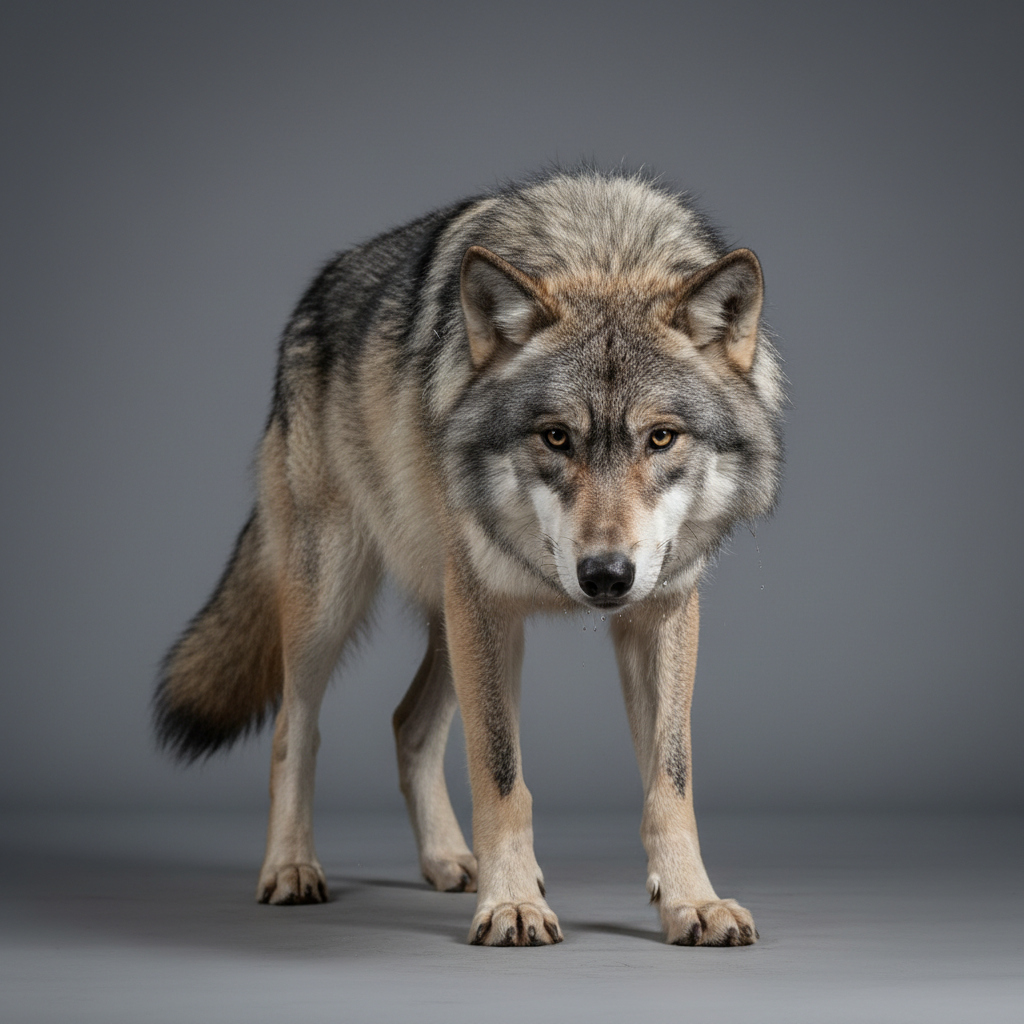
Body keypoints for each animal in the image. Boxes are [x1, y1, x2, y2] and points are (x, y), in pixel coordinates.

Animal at [155, 168, 784, 947]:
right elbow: (500, 772)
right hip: (338, 604)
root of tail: (312, 297)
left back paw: (451, 861)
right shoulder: (484, 606)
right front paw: (511, 904)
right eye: (555, 437)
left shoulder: (659, 611)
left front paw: (693, 901)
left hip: (456, 622)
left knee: (408, 725)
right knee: (292, 730)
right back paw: (292, 868)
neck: (602, 249)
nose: (606, 576)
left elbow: (671, 781)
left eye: (661, 438)